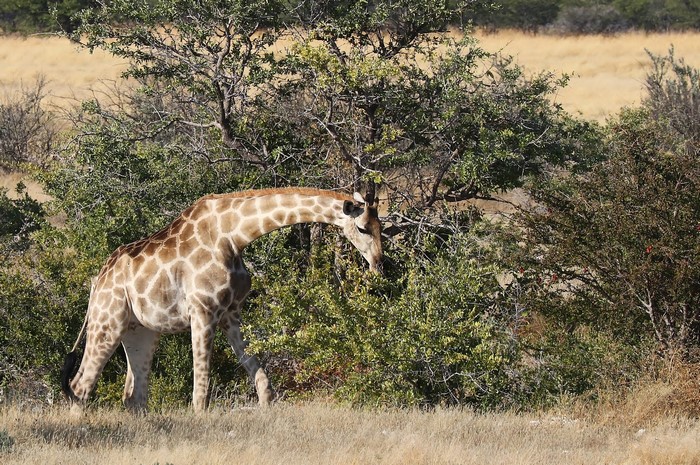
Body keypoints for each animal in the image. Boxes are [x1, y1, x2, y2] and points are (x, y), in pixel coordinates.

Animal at [60, 187, 382, 412]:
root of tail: (97, 282)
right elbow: (201, 389)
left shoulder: (231, 313)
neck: (234, 235)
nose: (378, 264)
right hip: (107, 321)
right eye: (362, 228)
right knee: (81, 385)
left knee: (133, 395)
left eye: (382, 227)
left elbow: (261, 378)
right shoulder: (203, 311)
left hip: (141, 331)